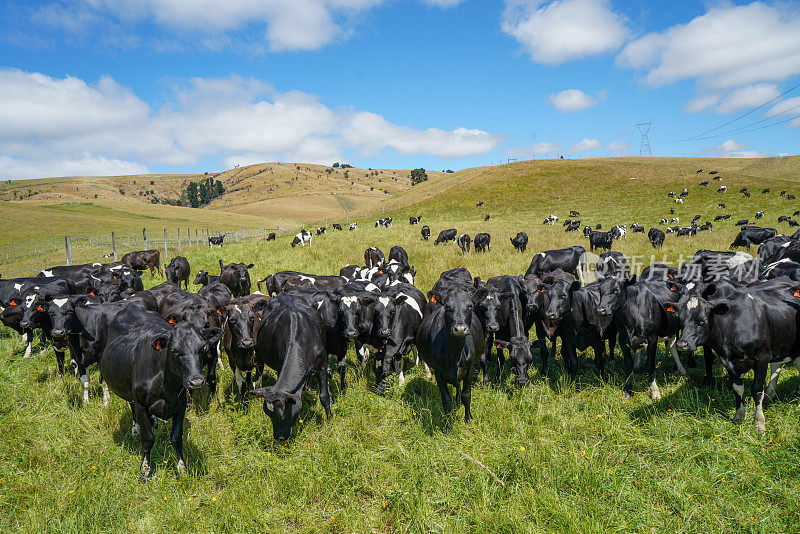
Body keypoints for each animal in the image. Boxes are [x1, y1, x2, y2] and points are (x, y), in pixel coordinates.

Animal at [102, 306, 225, 482]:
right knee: (131, 405)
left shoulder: (180, 405)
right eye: (174, 351)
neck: (166, 385)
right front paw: (146, 469)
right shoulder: (141, 405)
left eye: (202, 348)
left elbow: (176, 437)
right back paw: (135, 429)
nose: (196, 381)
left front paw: (181, 468)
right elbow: (148, 439)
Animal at [416, 284, 484, 428]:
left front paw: (467, 419)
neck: (455, 354)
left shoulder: (470, 369)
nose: (460, 329)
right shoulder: (438, 372)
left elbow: (466, 395)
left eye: (470, 306)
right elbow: (446, 400)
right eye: (447, 307)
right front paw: (448, 426)